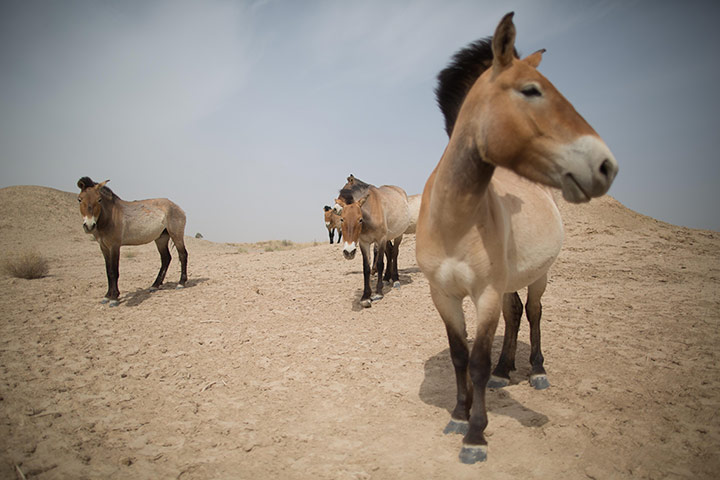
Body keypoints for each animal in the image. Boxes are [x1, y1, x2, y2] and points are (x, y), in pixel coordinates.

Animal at [76, 177, 188, 308]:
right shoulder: (103, 247)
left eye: (99, 199)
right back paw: (155, 285)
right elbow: (108, 271)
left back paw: (181, 283)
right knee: (166, 258)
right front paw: (107, 296)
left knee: (182, 255)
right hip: (161, 238)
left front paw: (114, 298)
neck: (110, 217)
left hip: (176, 236)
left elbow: (114, 271)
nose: (89, 226)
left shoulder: (114, 246)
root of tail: (178, 207)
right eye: (79, 199)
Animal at [334, 182, 408, 310]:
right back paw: (386, 278)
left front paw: (378, 293)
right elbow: (366, 268)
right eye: (342, 219)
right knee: (389, 253)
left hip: (398, 235)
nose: (348, 252)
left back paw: (395, 280)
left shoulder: (380, 239)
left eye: (360, 219)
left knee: (394, 253)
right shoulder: (364, 243)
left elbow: (379, 264)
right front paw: (365, 297)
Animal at [416, 13, 620, 464]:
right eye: (531, 90)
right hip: (509, 282)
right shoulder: (444, 295)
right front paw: (459, 414)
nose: (606, 166)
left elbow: (477, 360)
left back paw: (537, 370)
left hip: (539, 276)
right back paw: (504, 370)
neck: (455, 219)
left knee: (534, 312)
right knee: (514, 316)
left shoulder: (485, 294)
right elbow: (459, 356)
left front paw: (475, 436)